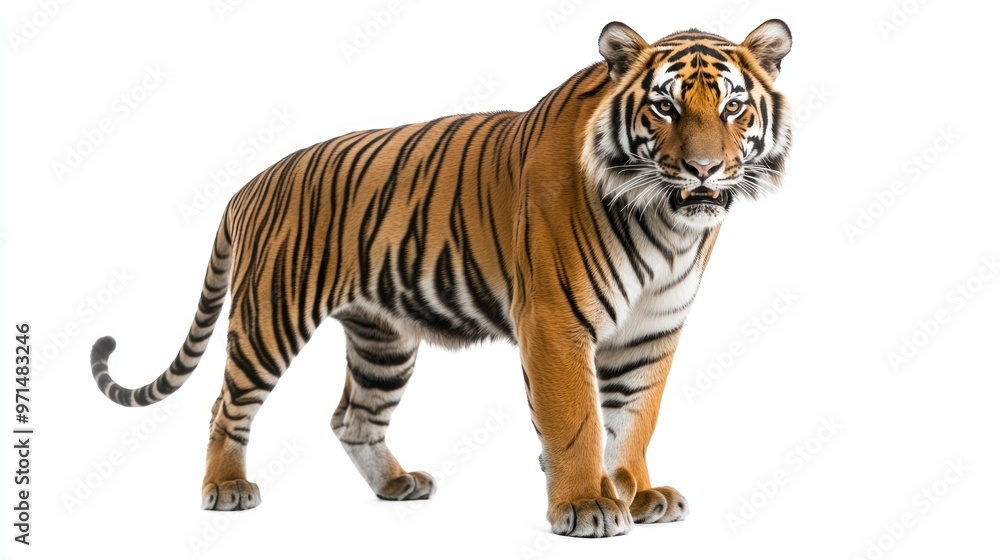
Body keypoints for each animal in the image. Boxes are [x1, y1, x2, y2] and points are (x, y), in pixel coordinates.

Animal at [89, 20, 792, 537]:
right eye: (665, 107)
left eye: (733, 107)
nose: (704, 169)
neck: (667, 224)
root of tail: (250, 184)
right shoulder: (556, 321)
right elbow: (578, 420)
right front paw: (587, 503)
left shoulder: (652, 331)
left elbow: (635, 418)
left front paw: (637, 493)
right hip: (272, 315)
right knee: (226, 405)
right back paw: (226, 488)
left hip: (383, 339)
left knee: (353, 417)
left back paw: (396, 485)